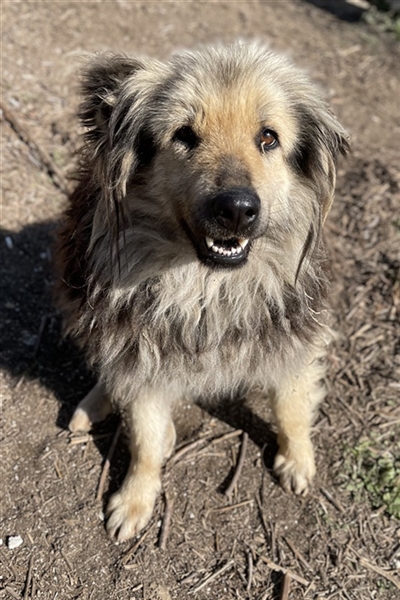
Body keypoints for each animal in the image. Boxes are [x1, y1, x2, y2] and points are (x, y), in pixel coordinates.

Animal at [57, 42, 349, 542]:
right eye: (184, 135)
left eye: (268, 137)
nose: (236, 209)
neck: (207, 287)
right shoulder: (141, 359)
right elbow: (145, 441)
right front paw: (135, 500)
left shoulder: (293, 341)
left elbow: (292, 407)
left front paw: (297, 459)